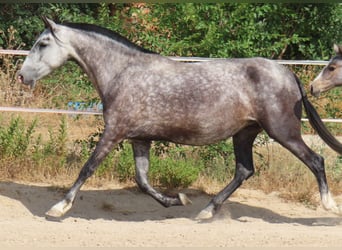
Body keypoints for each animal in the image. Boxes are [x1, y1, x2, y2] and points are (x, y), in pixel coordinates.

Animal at [17, 17, 340, 220]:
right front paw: (177, 200)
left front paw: (58, 207)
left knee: (316, 160)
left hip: (283, 131)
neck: (122, 73)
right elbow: (142, 181)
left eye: (43, 44)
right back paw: (206, 211)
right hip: (245, 132)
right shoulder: (139, 138)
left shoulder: (114, 132)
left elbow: (87, 168)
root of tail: (288, 74)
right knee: (244, 170)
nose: (21, 76)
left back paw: (328, 206)